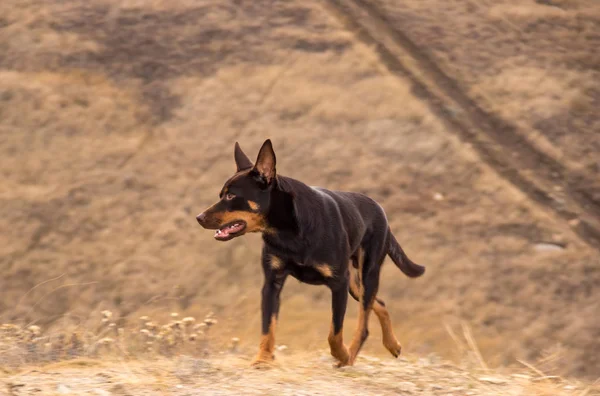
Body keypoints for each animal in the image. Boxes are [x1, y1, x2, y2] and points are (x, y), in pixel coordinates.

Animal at [195, 140, 424, 368]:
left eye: (231, 195)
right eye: (221, 194)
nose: (199, 217)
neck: (288, 232)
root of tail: (381, 211)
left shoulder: (338, 283)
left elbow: (334, 333)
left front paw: (342, 355)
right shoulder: (272, 283)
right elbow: (268, 327)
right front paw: (262, 359)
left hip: (367, 273)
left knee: (364, 324)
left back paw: (350, 357)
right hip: (354, 284)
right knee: (380, 304)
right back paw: (392, 344)